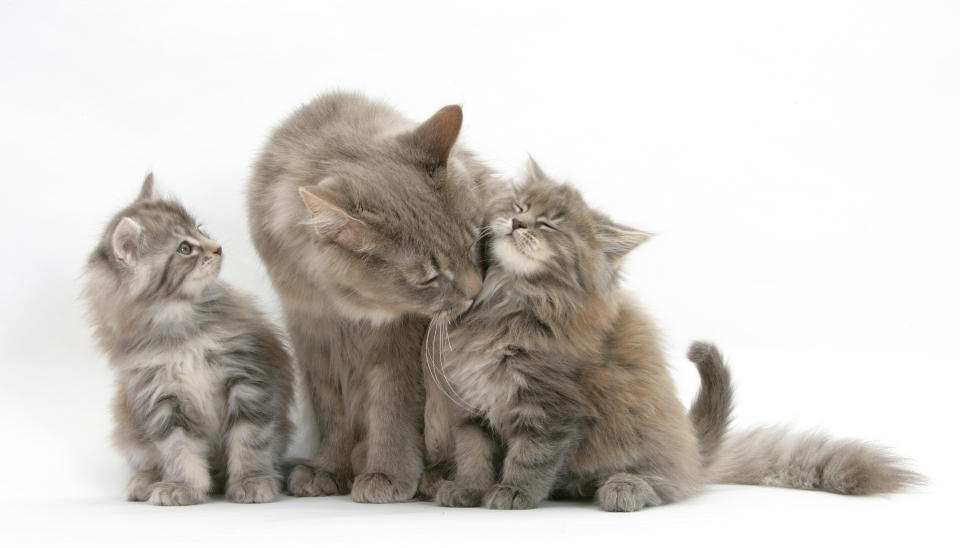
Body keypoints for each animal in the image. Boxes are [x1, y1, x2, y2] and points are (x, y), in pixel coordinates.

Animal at [82, 174, 292, 506]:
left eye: (201, 229)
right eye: (184, 249)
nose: (217, 248)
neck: (179, 327)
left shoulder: (247, 377)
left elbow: (250, 439)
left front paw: (253, 480)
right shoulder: (161, 397)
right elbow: (178, 449)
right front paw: (181, 486)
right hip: (129, 428)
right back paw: (145, 481)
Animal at [246, 93, 502, 500]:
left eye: (472, 241)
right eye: (430, 278)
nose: (474, 292)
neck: (343, 306)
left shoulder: (398, 338)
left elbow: (391, 406)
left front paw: (387, 473)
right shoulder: (312, 334)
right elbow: (331, 412)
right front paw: (328, 469)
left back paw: (433, 478)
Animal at [428, 161, 924, 512]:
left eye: (549, 224)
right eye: (517, 206)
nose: (519, 224)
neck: (508, 303)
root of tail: (695, 448)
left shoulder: (551, 406)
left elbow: (530, 457)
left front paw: (513, 493)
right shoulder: (471, 403)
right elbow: (473, 454)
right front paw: (467, 490)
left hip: (645, 434)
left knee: (670, 484)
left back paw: (624, 488)